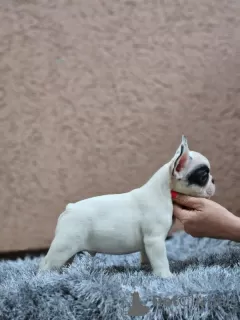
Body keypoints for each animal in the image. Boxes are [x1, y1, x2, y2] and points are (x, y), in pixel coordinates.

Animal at [39, 135, 216, 278]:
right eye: (204, 176)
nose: (214, 180)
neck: (164, 191)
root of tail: (70, 208)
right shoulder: (155, 240)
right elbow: (161, 260)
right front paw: (166, 276)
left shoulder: (148, 242)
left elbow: (147, 256)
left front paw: (146, 268)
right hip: (64, 245)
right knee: (47, 264)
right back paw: (46, 279)